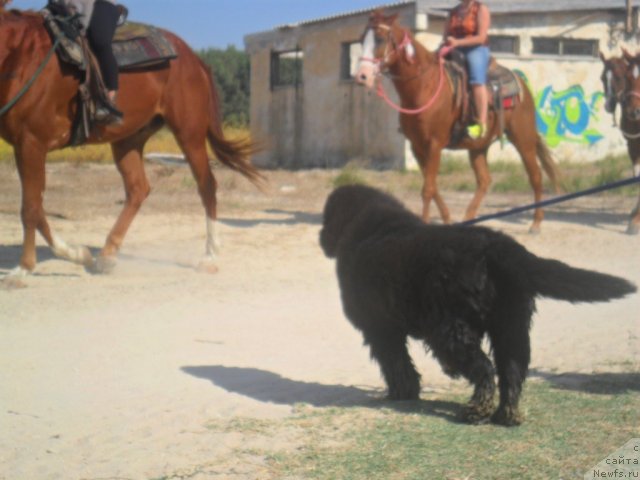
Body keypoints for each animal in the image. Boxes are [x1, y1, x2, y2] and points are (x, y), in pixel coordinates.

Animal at [0, 8, 262, 284]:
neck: (20, 57)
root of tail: (194, 59)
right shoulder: (23, 147)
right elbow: (37, 207)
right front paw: (78, 254)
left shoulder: (31, 142)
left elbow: (30, 208)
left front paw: (23, 269)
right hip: (128, 139)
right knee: (138, 189)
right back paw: (107, 255)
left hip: (189, 132)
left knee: (206, 185)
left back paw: (210, 256)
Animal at [320, 186, 636, 426]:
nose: (320, 237)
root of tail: (496, 245)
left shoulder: (380, 329)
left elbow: (395, 364)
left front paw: (402, 393)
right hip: (511, 324)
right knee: (512, 370)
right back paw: (507, 414)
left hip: (452, 329)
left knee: (484, 367)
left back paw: (477, 409)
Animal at [356, 12, 560, 233]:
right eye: (361, 39)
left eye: (380, 39)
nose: (362, 76)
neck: (424, 87)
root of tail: (520, 83)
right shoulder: (416, 146)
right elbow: (432, 186)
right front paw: (446, 219)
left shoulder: (434, 144)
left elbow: (427, 189)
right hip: (478, 146)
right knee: (484, 180)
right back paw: (469, 218)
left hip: (523, 138)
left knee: (535, 176)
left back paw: (536, 223)